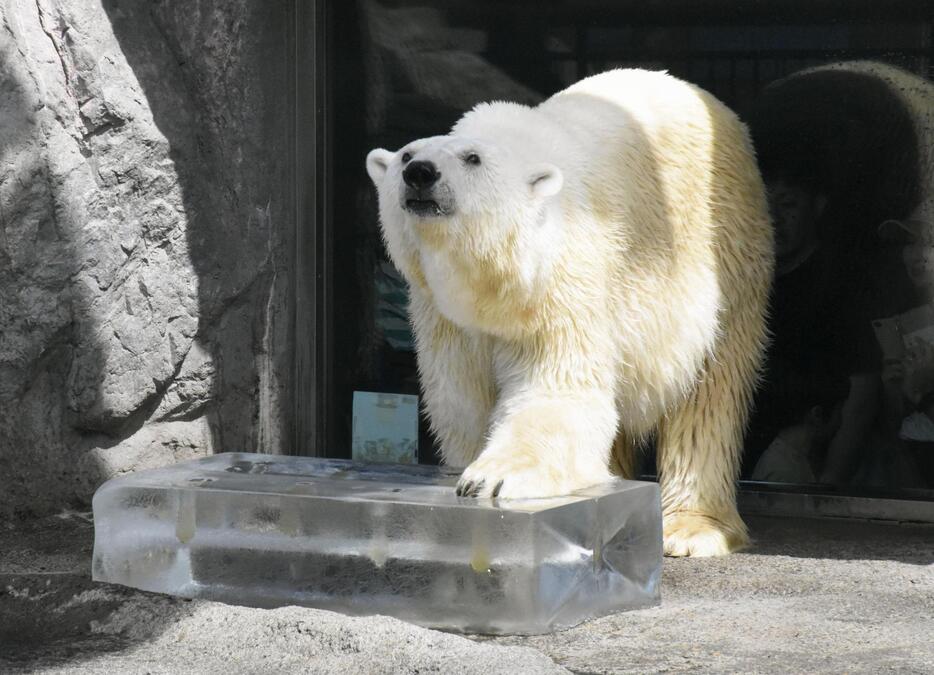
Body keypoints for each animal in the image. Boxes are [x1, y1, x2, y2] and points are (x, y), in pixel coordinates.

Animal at [366, 68, 776, 556]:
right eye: (407, 154)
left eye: (472, 159)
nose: (419, 174)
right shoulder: (444, 316)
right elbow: (463, 403)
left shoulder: (563, 286)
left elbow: (557, 392)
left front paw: (492, 478)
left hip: (726, 253)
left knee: (710, 392)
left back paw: (691, 528)